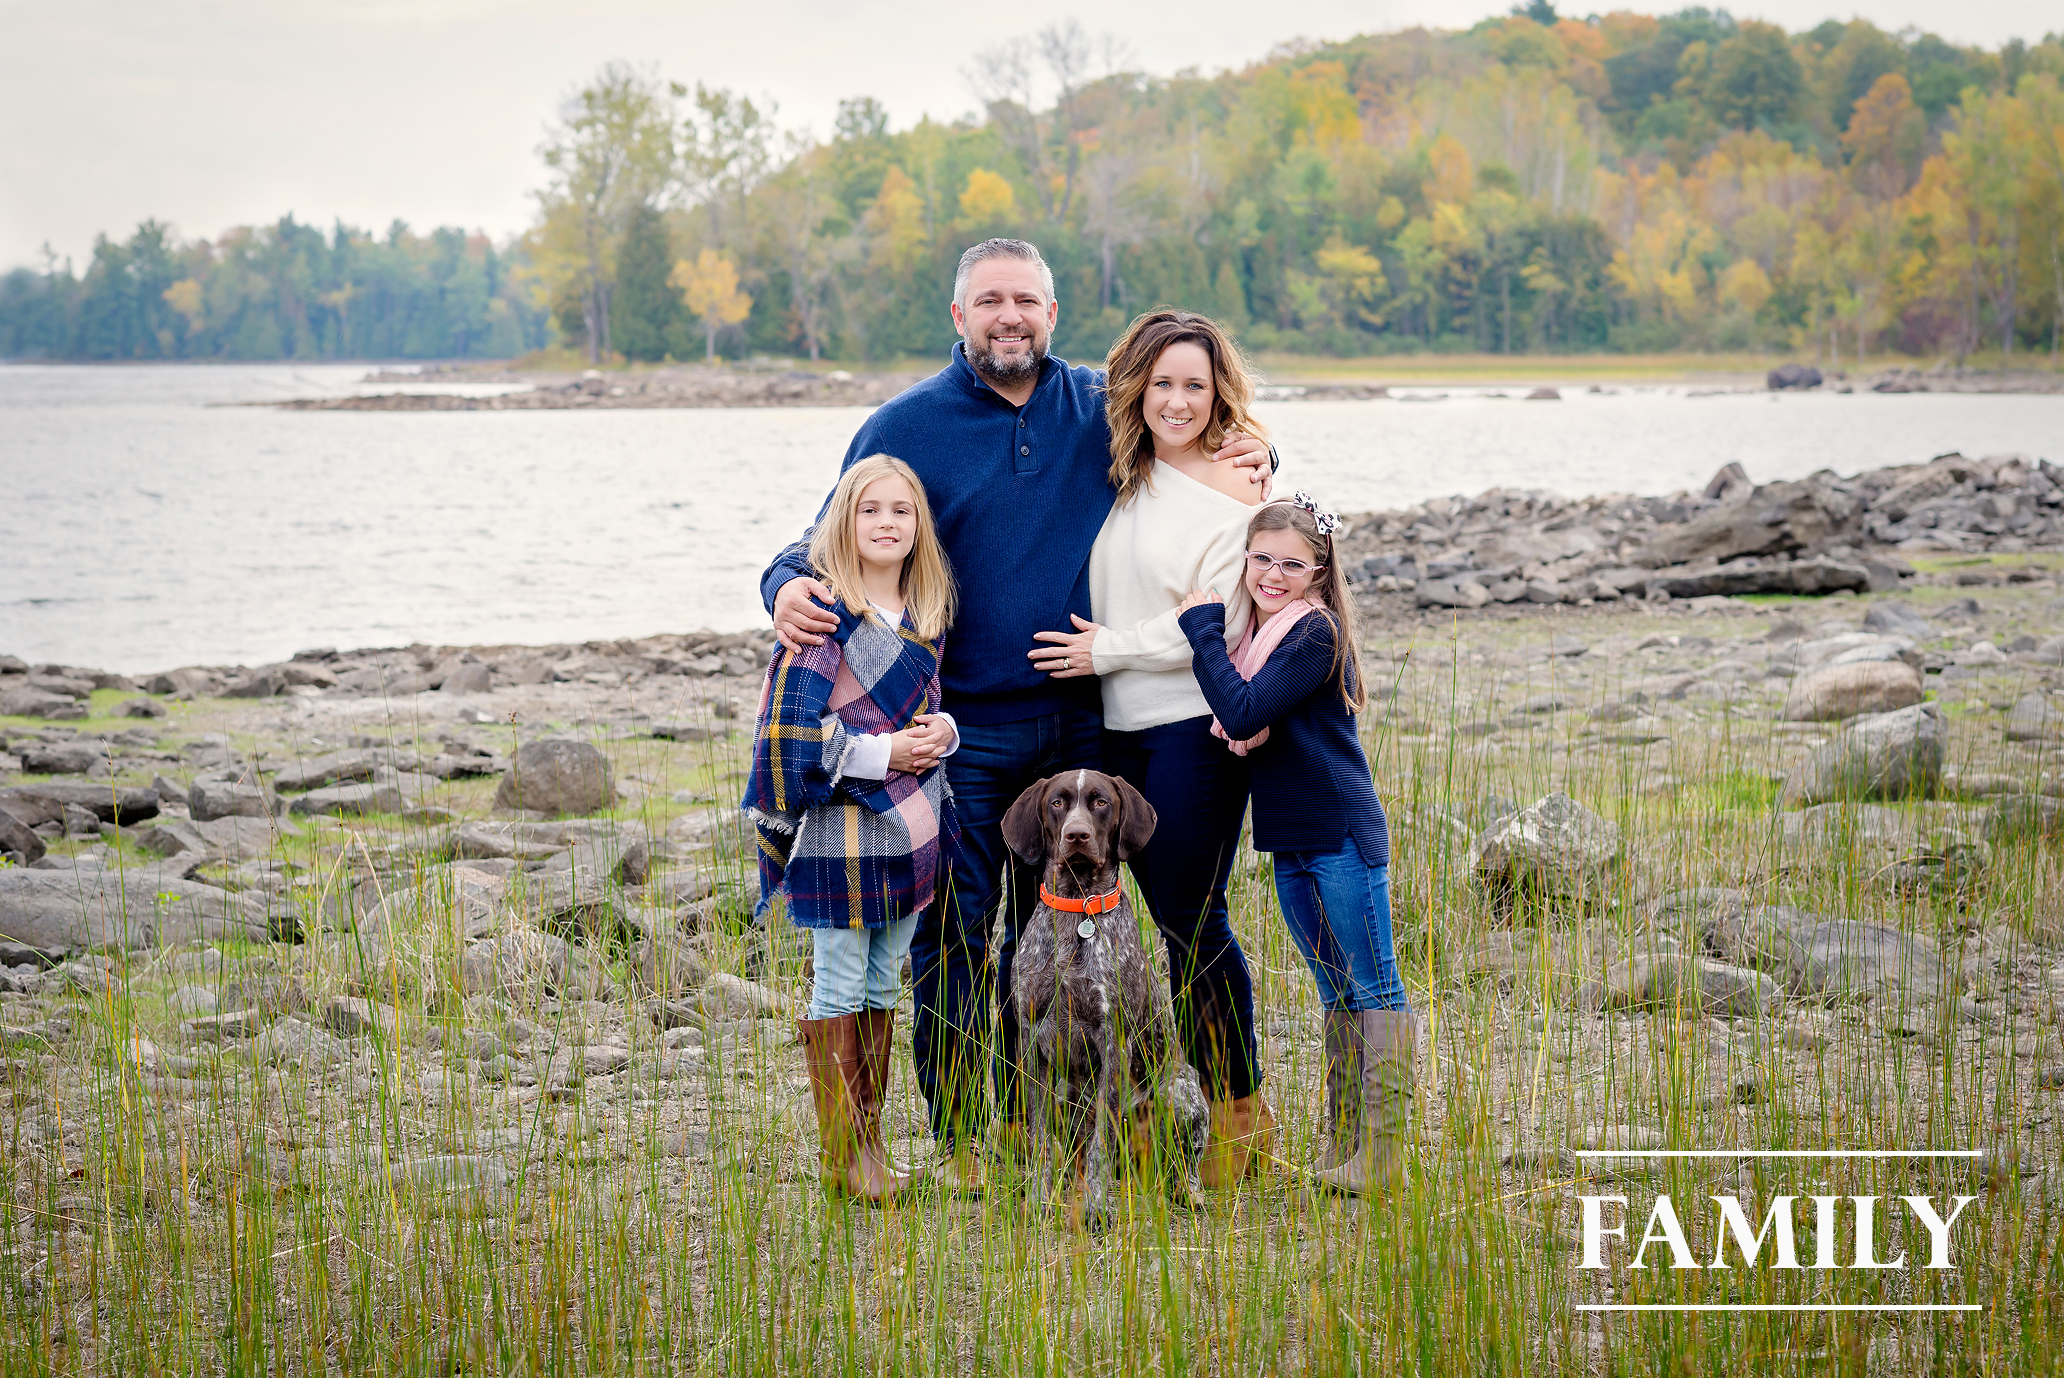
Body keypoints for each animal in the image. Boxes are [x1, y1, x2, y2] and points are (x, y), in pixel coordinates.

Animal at [998, 771, 1205, 1229]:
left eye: (1101, 802)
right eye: (1057, 802)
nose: (1077, 835)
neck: (1078, 907)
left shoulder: (1113, 1041)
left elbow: (1100, 1144)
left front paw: (1096, 1206)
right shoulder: (1031, 1043)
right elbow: (1040, 1141)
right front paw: (1038, 1200)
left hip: (1180, 1093)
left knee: (1180, 1160)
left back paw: (1190, 1191)